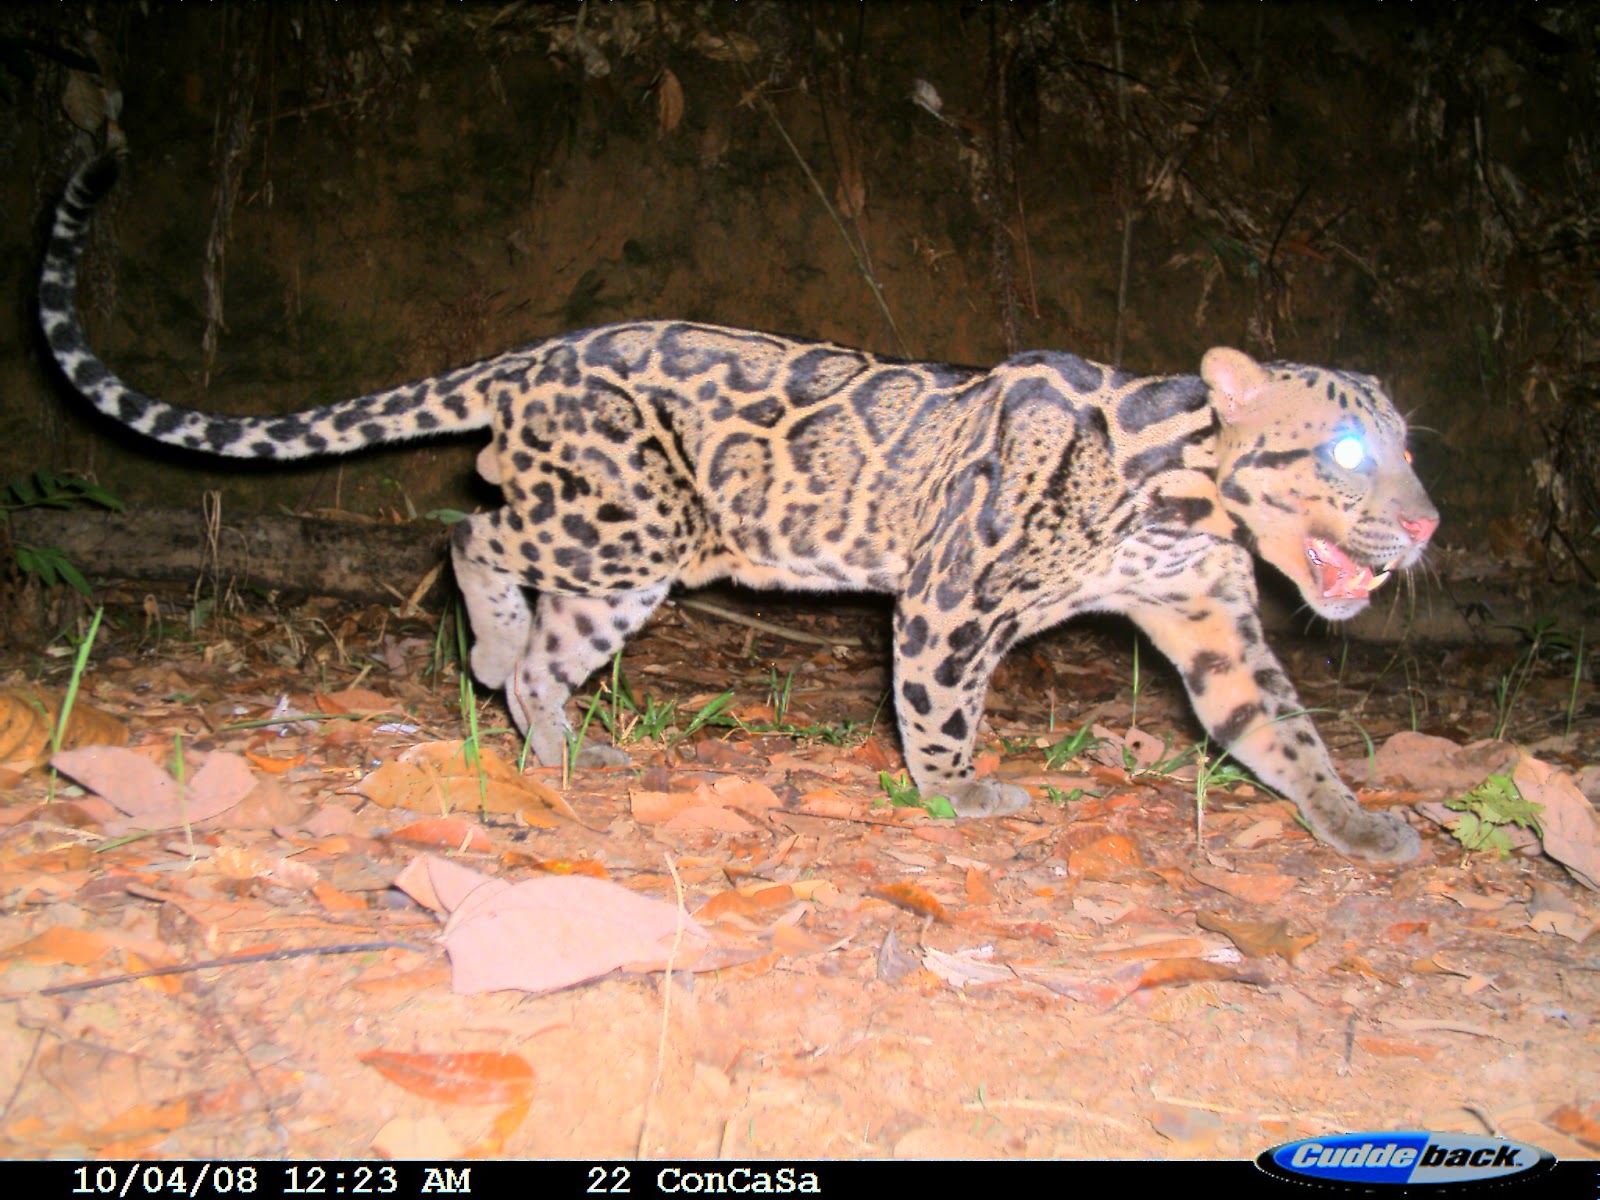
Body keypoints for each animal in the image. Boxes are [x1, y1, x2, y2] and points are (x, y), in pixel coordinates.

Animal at [40, 157, 1440, 864]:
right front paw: (955, 799)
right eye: (1345, 452)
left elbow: (1282, 731)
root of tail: (534, 351)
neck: (1182, 502)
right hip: (628, 522)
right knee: (474, 529)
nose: (1426, 527)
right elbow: (938, 709)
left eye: (1409, 453)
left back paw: (558, 749)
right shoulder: (952, 597)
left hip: (616, 561)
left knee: (544, 641)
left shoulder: (1213, 624)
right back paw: (494, 650)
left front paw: (1356, 823)